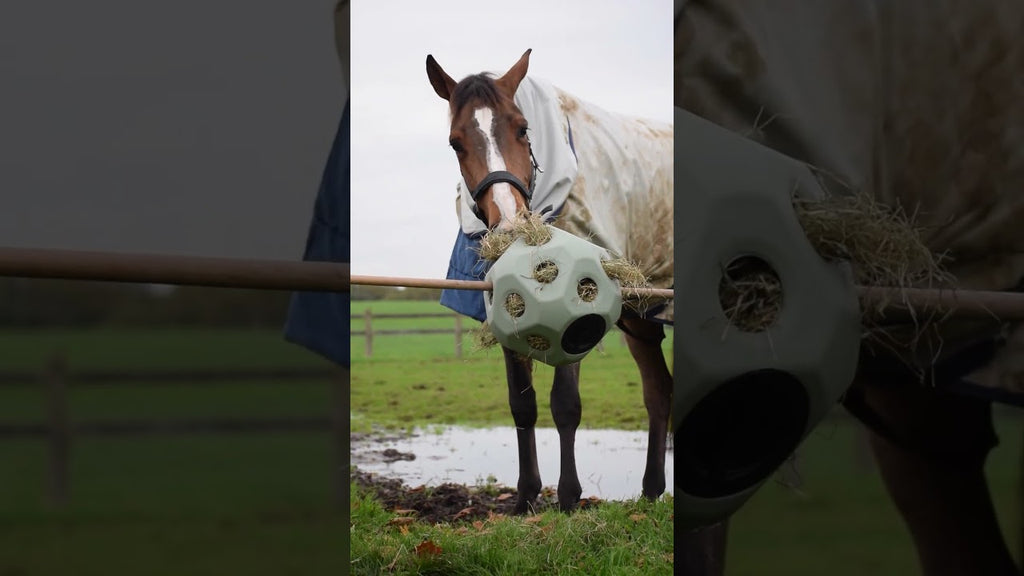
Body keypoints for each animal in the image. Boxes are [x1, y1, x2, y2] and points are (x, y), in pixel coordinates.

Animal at [426, 49, 674, 514]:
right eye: (455, 142)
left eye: (523, 129)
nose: (510, 223)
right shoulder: (508, 317)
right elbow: (523, 405)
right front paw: (526, 497)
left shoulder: (579, 317)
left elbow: (565, 404)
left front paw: (569, 497)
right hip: (641, 319)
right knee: (658, 391)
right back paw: (651, 492)